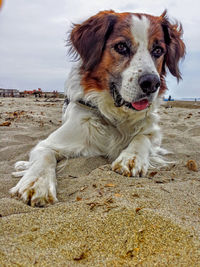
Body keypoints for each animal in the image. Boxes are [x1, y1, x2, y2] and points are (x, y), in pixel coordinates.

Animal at [9, 9, 184, 207]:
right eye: (121, 47)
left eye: (158, 50)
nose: (152, 83)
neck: (116, 116)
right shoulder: (52, 142)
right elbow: (44, 154)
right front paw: (37, 183)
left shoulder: (153, 132)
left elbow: (142, 138)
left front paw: (131, 158)